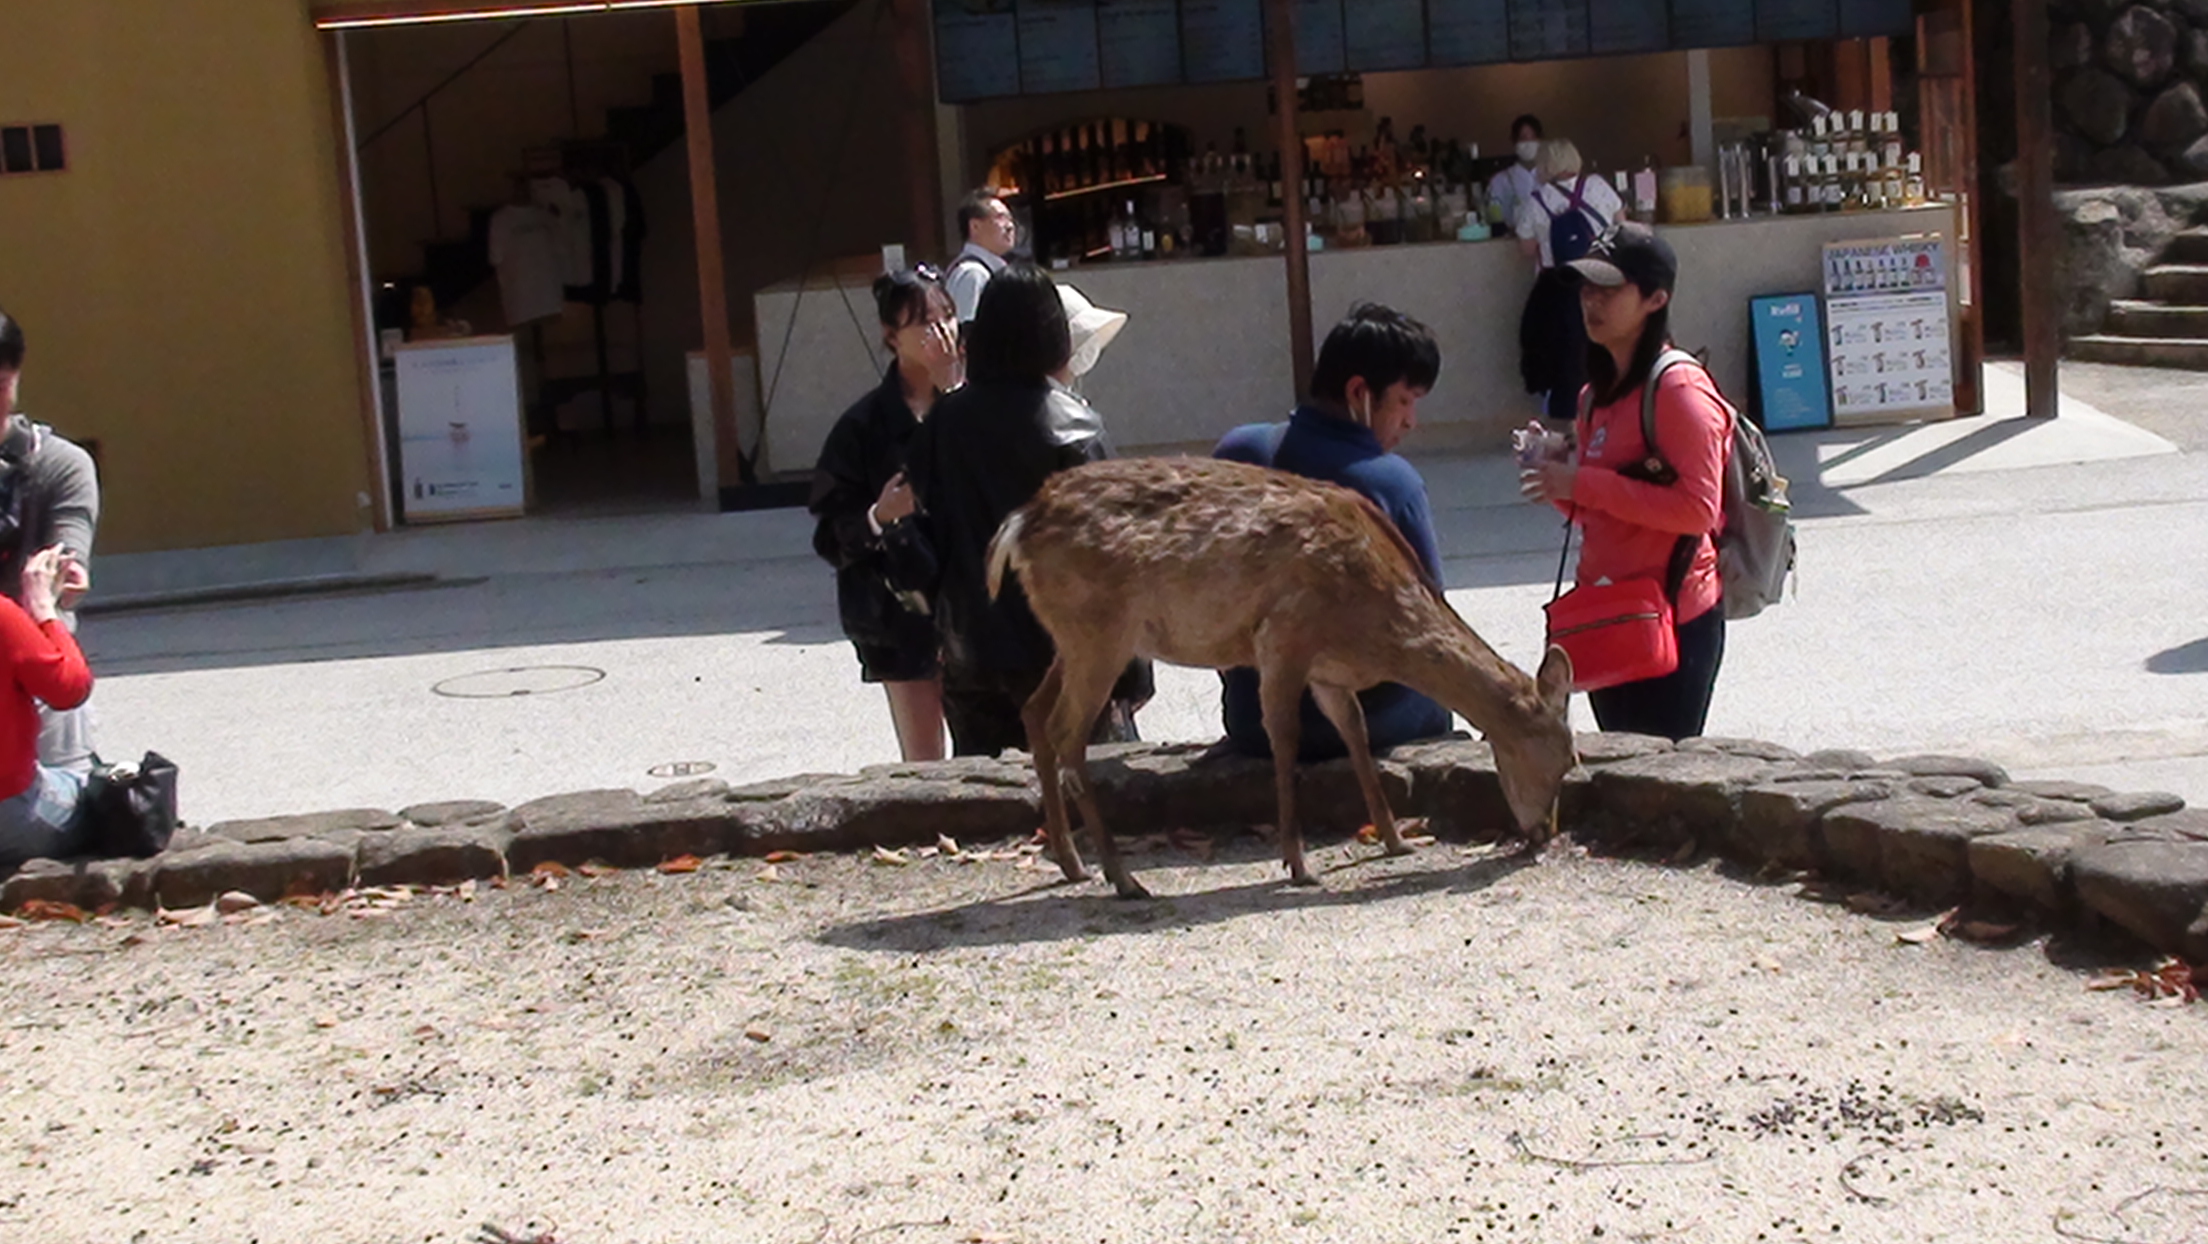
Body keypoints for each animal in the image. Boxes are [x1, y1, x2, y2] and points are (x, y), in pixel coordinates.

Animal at [986, 456, 1578, 900]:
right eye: (1567, 759)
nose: (1544, 833)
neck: (1374, 627)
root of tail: (1018, 525)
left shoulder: (1330, 674)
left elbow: (1357, 736)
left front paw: (1395, 841)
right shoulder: (1284, 635)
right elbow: (1286, 740)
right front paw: (1298, 865)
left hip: (1072, 637)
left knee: (1034, 713)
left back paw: (1073, 865)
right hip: (1100, 630)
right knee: (1067, 732)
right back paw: (1123, 878)